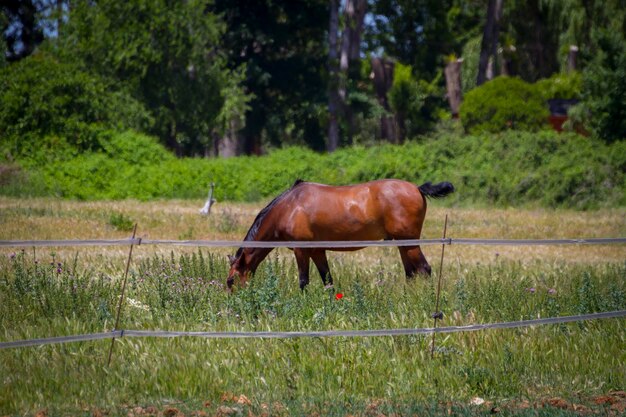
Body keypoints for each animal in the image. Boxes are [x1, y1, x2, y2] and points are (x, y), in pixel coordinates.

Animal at [227, 179, 450, 290]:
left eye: (231, 281)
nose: (235, 304)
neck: (289, 206)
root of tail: (417, 188)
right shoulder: (317, 251)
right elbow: (328, 281)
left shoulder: (301, 250)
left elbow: (303, 281)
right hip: (402, 244)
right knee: (411, 273)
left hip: (409, 243)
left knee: (424, 269)